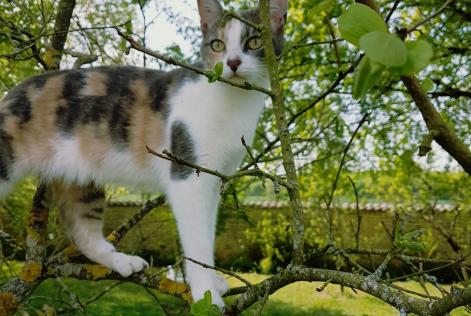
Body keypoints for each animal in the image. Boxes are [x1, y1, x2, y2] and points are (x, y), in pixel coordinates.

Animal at [0, 0, 288, 308]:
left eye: (254, 41)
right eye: (217, 45)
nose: (233, 63)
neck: (232, 102)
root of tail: (13, 92)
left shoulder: (213, 178)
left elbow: (208, 231)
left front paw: (213, 282)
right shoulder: (187, 174)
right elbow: (197, 240)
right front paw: (204, 293)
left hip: (80, 176)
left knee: (82, 230)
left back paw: (120, 261)